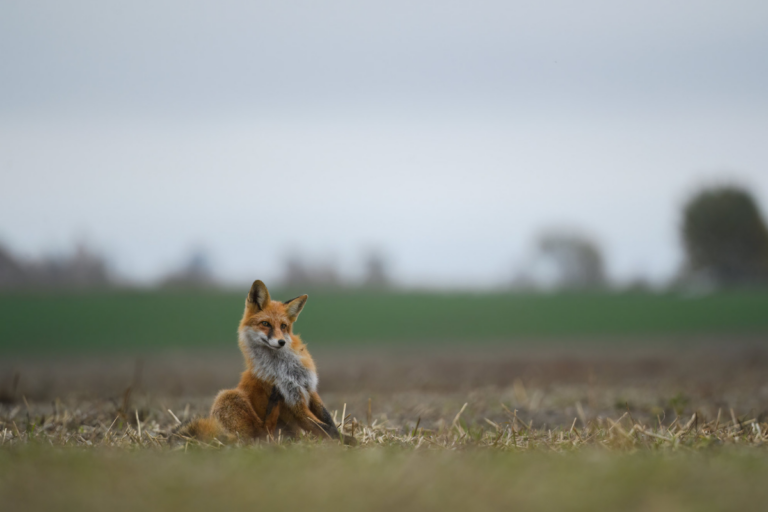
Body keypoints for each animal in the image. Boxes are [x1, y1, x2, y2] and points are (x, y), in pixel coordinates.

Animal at [176, 280, 352, 444]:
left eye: (283, 326)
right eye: (265, 324)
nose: (281, 342)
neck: (287, 368)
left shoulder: (309, 389)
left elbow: (328, 420)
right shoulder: (294, 403)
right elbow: (324, 427)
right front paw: (348, 441)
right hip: (228, 395)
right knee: (262, 434)